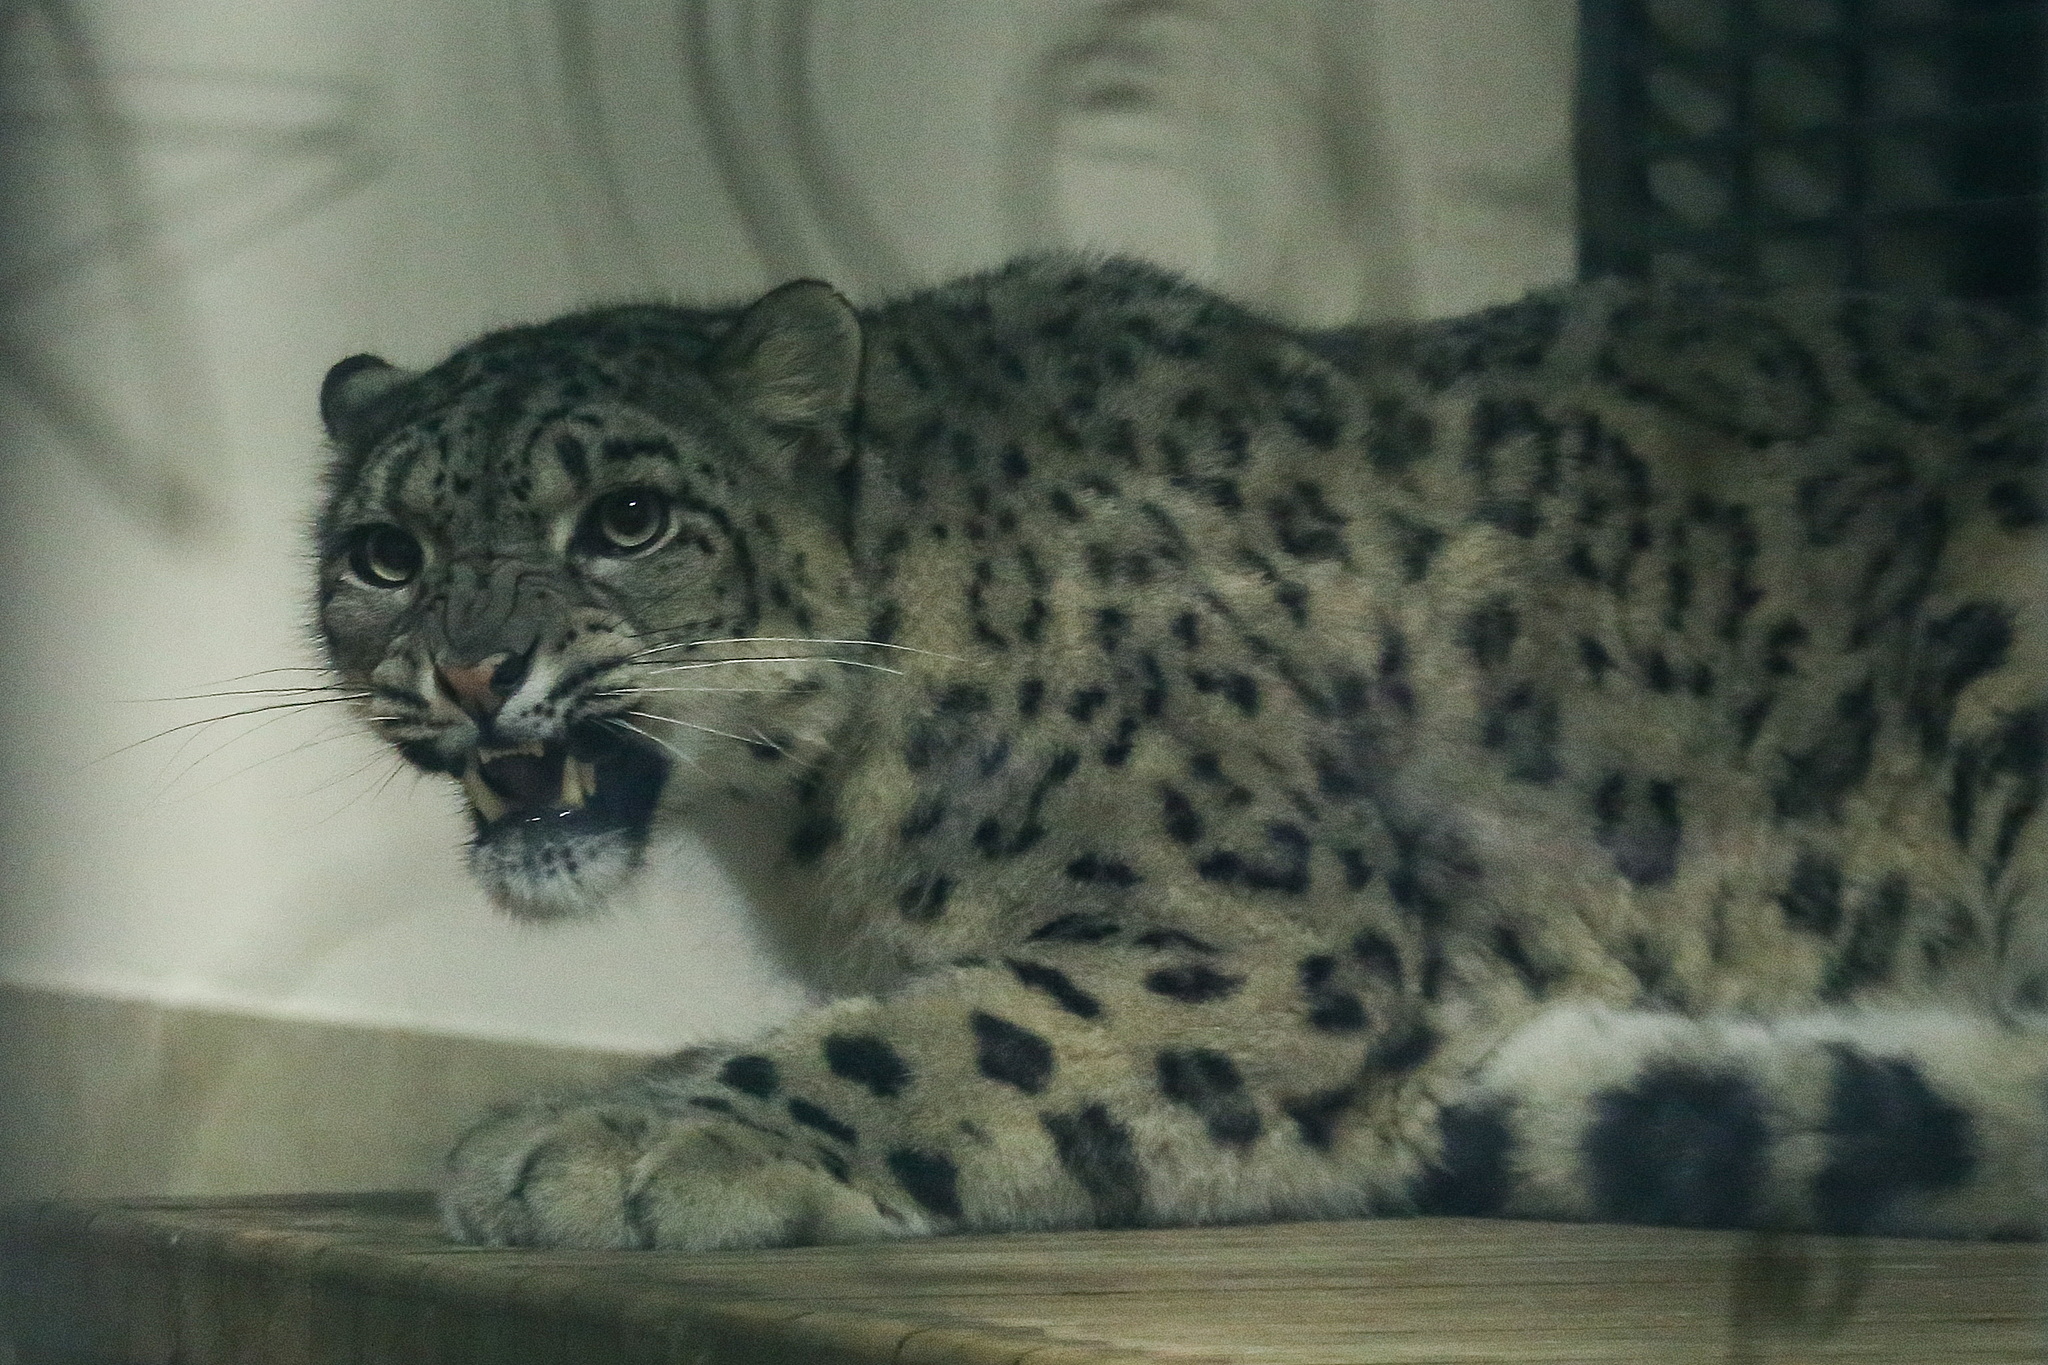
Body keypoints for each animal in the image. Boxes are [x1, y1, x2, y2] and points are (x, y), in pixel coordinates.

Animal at [314, 254, 2048, 1251]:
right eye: (385, 552)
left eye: (626, 518)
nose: (466, 668)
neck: (804, 830)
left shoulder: (1266, 937)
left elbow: (947, 1037)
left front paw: (597, 1138)